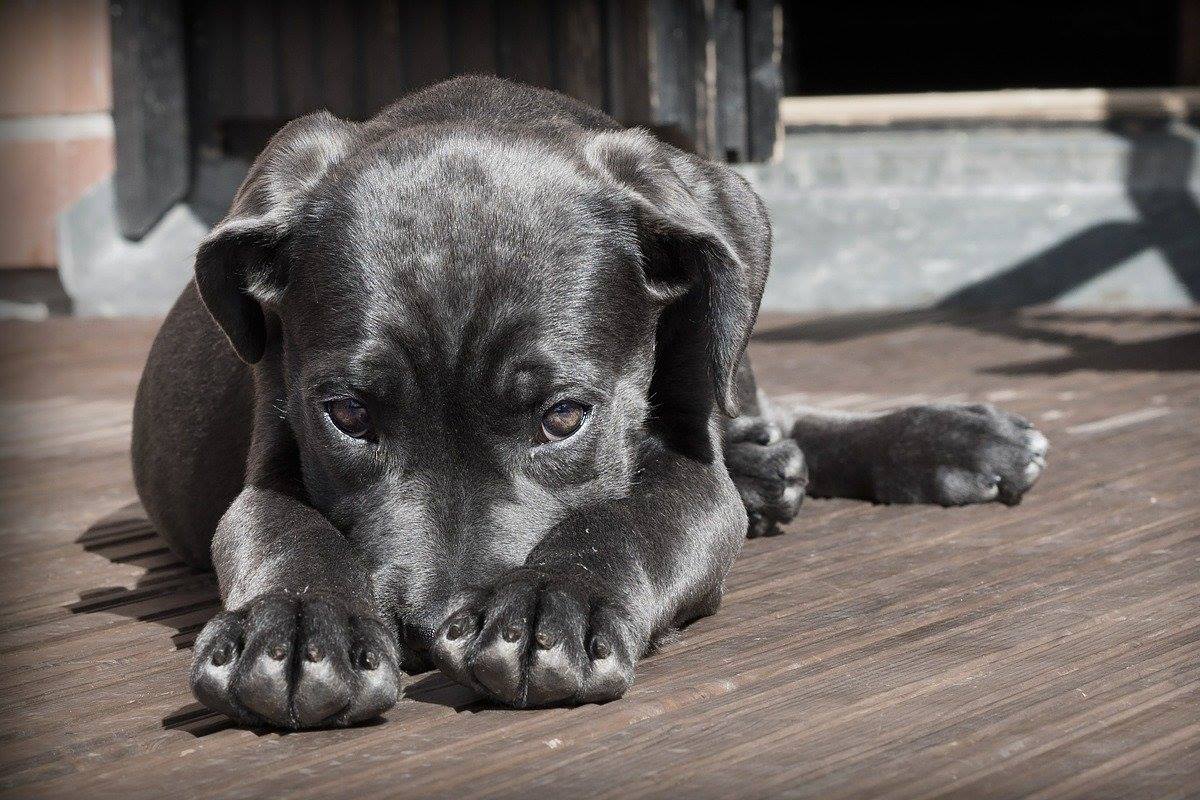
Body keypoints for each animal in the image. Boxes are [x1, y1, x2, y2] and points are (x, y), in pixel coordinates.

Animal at [131, 76, 1046, 734]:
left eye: (564, 417)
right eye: (348, 417)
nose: (426, 632)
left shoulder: (690, 470)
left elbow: (629, 517)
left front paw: (550, 603)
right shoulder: (270, 454)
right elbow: (284, 529)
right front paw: (294, 627)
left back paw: (946, 441)